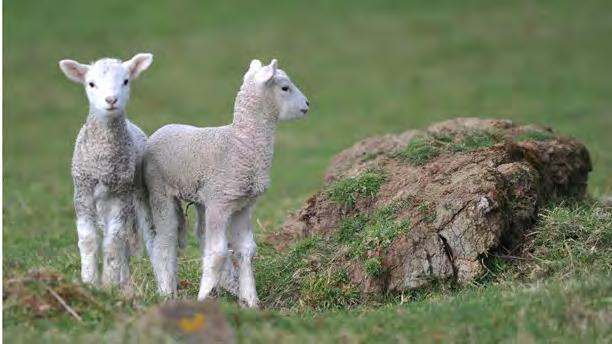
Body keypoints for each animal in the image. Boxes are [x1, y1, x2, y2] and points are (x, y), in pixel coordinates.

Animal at [59, 53, 155, 288]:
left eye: (126, 81)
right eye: (91, 84)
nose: (111, 100)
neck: (103, 161)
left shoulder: (121, 194)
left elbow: (114, 242)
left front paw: (109, 284)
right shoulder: (82, 190)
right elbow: (88, 240)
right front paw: (89, 282)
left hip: (137, 194)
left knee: (140, 238)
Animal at [145, 58, 310, 306]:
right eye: (285, 88)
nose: (307, 105)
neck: (242, 142)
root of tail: (161, 129)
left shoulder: (243, 205)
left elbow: (246, 249)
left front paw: (250, 300)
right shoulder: (220, 204)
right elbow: (218, 253)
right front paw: (204, 297)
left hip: (202, 199)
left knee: (200, 235)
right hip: (160, 191)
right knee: (165, 240)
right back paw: (166, 291)